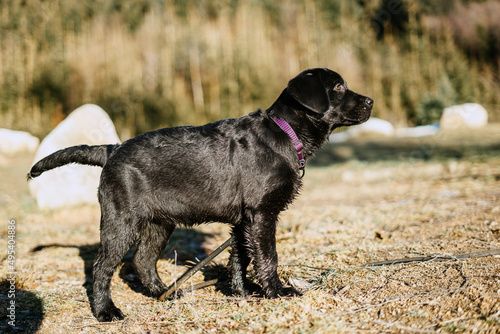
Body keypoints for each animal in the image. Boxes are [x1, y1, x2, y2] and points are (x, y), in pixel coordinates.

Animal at [27, 68, 372, 320]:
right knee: (102, 268)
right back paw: (105, 312)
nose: (370, 101)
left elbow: (240, 256)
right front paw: (277, 292)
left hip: (159, 224)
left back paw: (164, 293)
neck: (283, 133)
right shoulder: (261, 214)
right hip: (121, 222)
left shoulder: (244, 221)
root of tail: (112, 150)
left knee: (142, 261)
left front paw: (242, 292)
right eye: (338, 87)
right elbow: (267, 257)